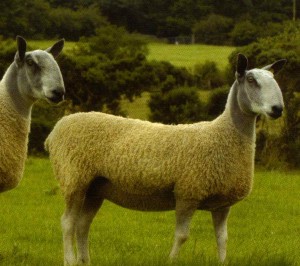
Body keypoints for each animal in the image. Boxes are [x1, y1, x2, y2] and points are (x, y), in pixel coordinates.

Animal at [44, 53, 286, 264]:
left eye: (274, 79)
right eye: (251, 80)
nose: (278, 109)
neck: (223, 134)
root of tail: (56, 130)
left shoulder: (222, 204)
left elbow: (222, 238)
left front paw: (222, 262)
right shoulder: (187, 193)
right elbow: (182, 236)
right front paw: (171, 261)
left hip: (96, 187)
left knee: (82, 225)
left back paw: (85, 261)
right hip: (74, 178)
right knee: (68, 223)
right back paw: (70, 260)